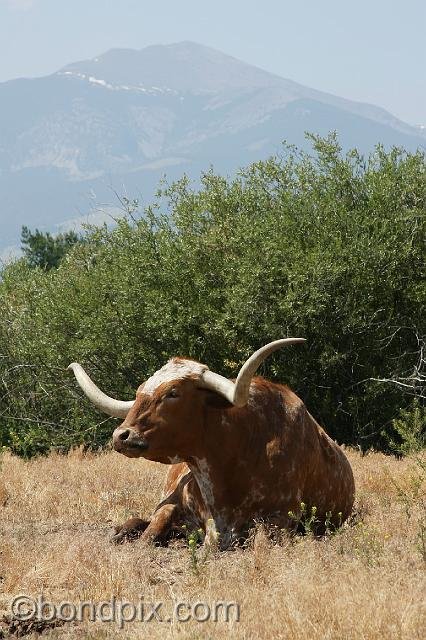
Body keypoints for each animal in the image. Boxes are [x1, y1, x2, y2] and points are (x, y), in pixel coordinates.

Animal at [69, 340, 356, 552]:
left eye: (173, 393)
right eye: (140, 391)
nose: (122, 436)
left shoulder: (283, 516)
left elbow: (261, 542)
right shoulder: (172, 503)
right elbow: (148, 535)